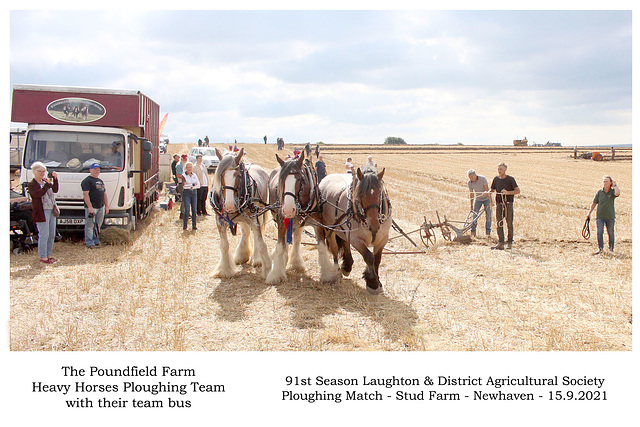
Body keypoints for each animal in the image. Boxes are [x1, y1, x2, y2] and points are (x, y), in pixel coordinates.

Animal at [209, 147, 272, 280]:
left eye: (238, 175)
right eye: (221, 175)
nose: (229, 205)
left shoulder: (254, 218)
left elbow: (261, 242)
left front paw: (268, 270)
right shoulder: (219, 221)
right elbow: (224, 245)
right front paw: (225, 270)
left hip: (258, 213)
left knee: (256, 233)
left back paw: (256, 259)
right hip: (243, 218)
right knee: (245, 231)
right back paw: (242, 255)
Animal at [316, 166, 390, 294]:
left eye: (379, 193)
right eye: (361, 195)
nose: (373, 225)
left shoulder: (383, 239)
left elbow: (377, 259)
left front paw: (377, 282)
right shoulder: (356, 240)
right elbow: (369, 257)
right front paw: (372, 283)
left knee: (345, 242)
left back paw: (347, 265)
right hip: (330, 229)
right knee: (334, 248)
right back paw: (337, 271)